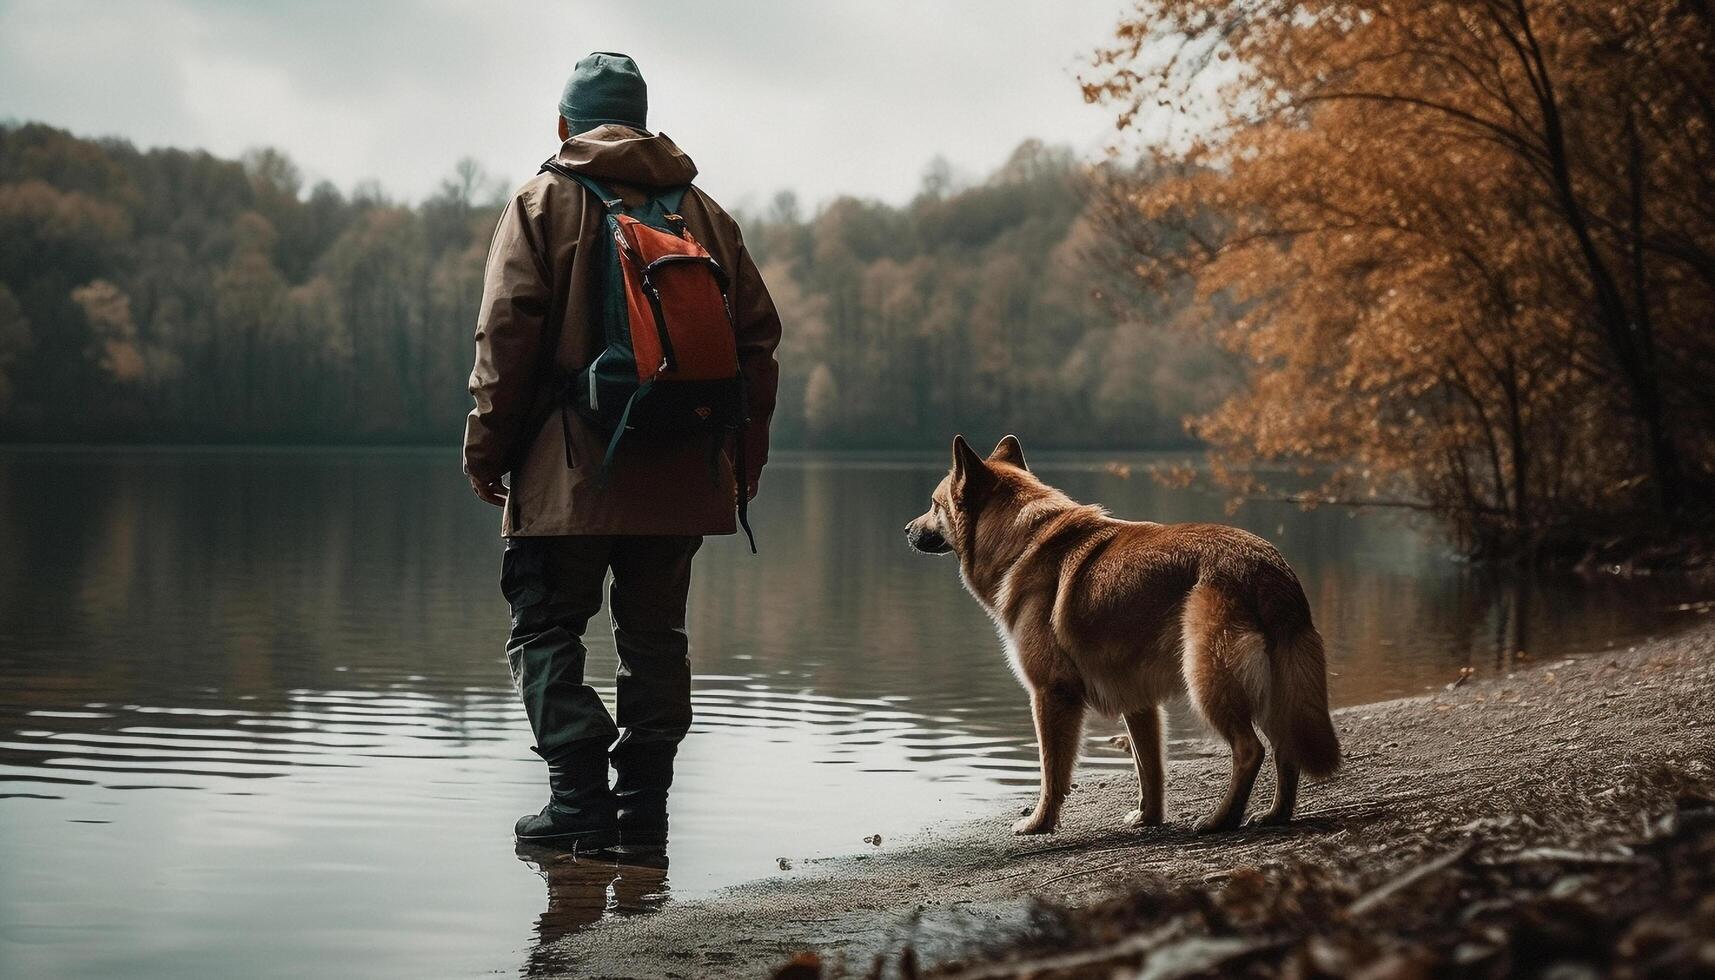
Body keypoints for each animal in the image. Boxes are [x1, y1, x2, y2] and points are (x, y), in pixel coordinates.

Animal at [905, 437, 1344, 837]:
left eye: (933, 504)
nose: (907, 529)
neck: (1022, 539)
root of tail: (1266, 568)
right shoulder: (1138, 702)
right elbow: (1149, 769)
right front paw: (1149, 818)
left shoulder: (1051, 693)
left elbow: (1052, 772)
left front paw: (1040, 822)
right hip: (1275, 687)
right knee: (1286, 749)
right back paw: (1276, 815)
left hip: (1209, 680)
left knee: (1251, 751)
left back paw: (1221, 819)